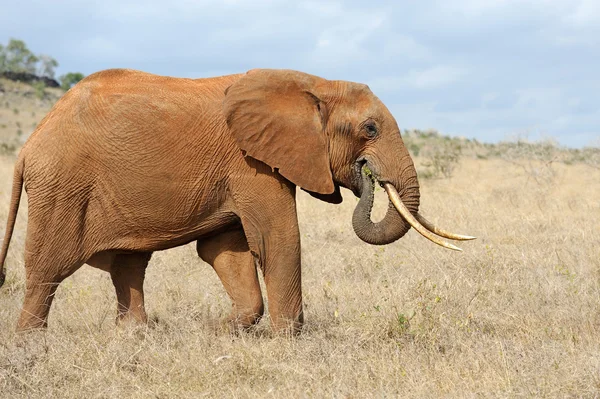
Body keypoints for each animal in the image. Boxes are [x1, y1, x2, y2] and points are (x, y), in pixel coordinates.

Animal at [0, 69, 474, 334]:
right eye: (370, 129)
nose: (368, 175)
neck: (313, 85)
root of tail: (29, 144)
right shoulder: (252, 163)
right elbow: (278, 238)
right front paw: (287, 341)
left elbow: (225, 249)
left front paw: (222, 331)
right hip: (63, 187)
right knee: (48, 269)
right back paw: (31, 345)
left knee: (128, 266)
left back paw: (135, 337)